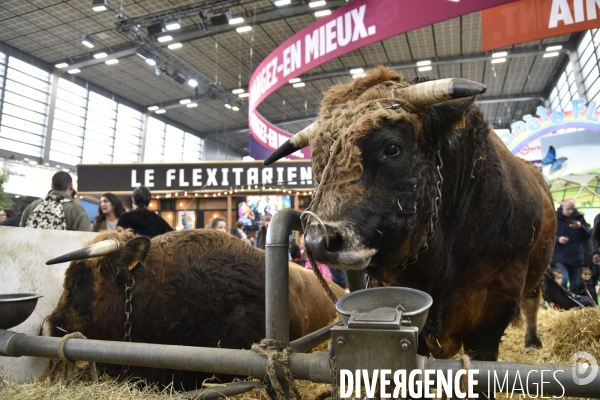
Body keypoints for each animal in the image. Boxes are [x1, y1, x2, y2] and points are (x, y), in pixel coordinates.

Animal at [264, 66, 556, 362]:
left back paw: (532, 342)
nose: (318, 242)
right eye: (318, 161)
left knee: (532, 303)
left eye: (392, 148)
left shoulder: (494, 310)